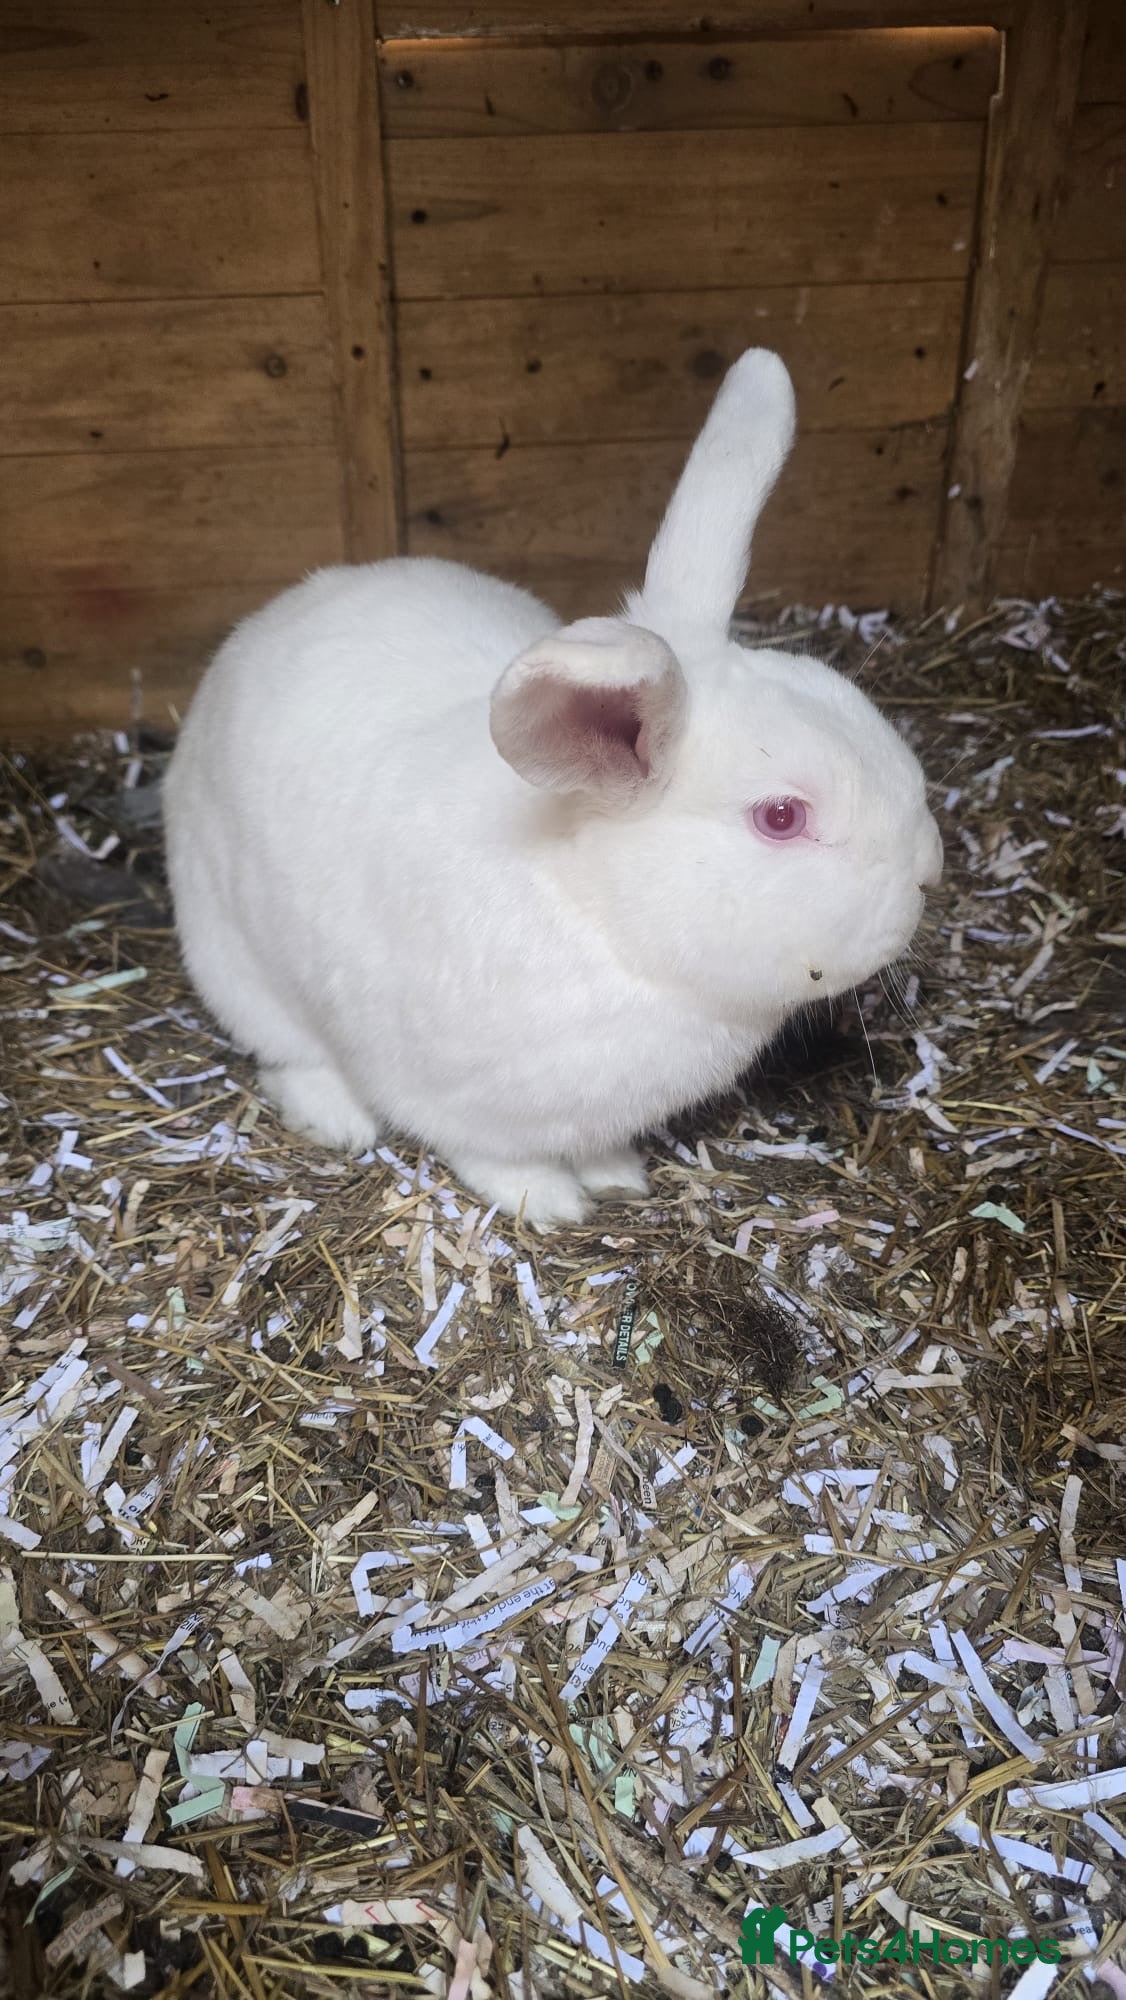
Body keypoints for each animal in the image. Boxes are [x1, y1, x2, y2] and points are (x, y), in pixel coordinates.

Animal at [163, 348, 942, 1229]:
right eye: (781, 816)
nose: (930, 871)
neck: (600, 917)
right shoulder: (457, 1100)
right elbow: (495, 1158)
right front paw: (554, 1204)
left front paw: (617, 1177)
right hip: (233, 961)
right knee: (290, 1054)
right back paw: (338, 1118)